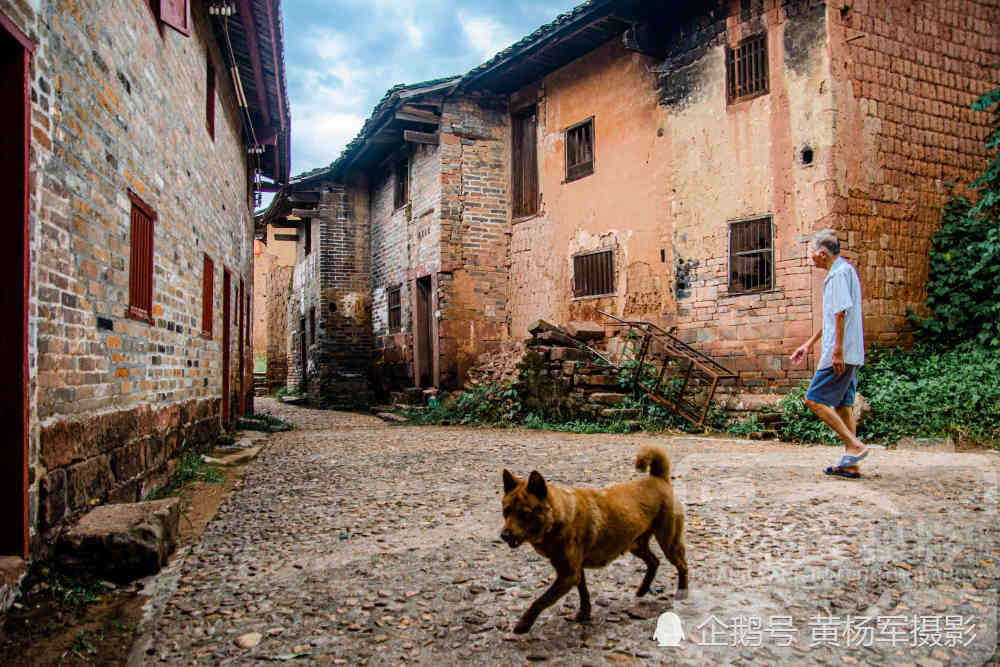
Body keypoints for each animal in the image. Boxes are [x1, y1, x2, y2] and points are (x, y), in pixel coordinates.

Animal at [500, 446, 688, 636]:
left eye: (525, 514)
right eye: (506, 511)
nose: (504, 536)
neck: (559, 514)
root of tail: (659, 479)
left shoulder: (567, 575)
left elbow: (540, 601)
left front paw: (523, 624)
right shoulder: (575, 571)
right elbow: (583, 591)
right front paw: (585, 613)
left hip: (669, 542)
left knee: (682, 566)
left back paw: (682, 592)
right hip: (635, 544)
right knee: (654, 562)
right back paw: (642, 590)